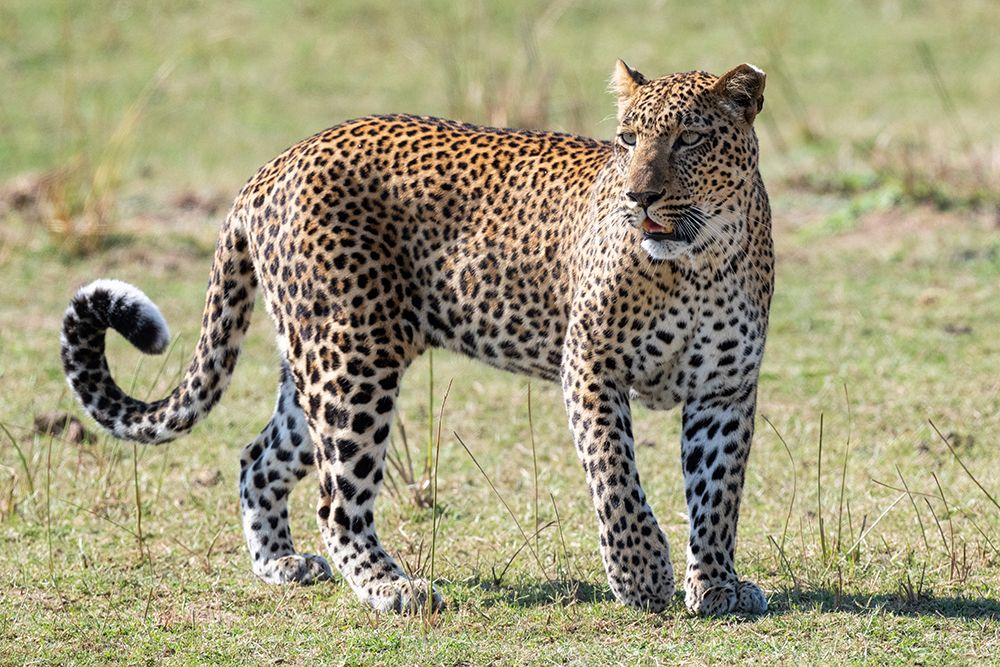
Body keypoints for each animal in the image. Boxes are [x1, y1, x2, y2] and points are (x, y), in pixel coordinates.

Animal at [60, 61, 772, 616]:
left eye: (689, 139)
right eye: (627, 139)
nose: (638, 196)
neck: (698, 259)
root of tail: (271, 167)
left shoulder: (725, 390)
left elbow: (717, 493)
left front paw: (717, 586)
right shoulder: (591, 366)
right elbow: (615, 472)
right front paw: (641, 574)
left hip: (316, 362)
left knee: (258, 457)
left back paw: (281, 566)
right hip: (355, 357)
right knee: (336, 500)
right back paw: (393, 589)